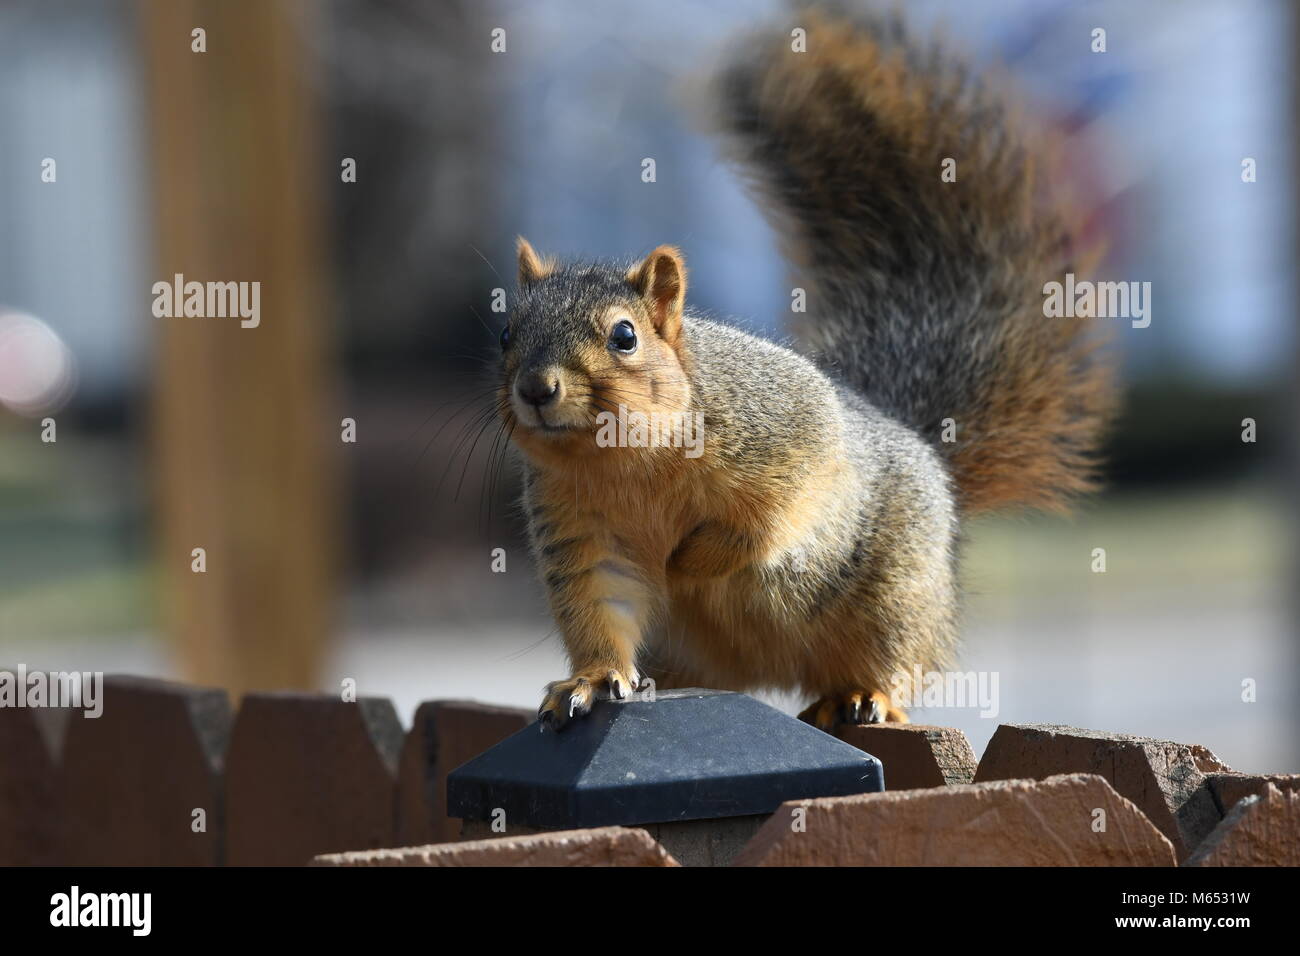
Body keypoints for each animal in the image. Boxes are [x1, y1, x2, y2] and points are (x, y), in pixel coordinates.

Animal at [496, 1, 1118, 733]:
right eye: (505, 331)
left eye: (625, 336)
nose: (536, 389)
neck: (624, 461)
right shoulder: (581, 529)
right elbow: (601, 603)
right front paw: (590, 681)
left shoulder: (788, 431)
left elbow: (767, 518)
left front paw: (688, 560)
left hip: (895, 597)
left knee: (892, 659)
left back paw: (863, 694)